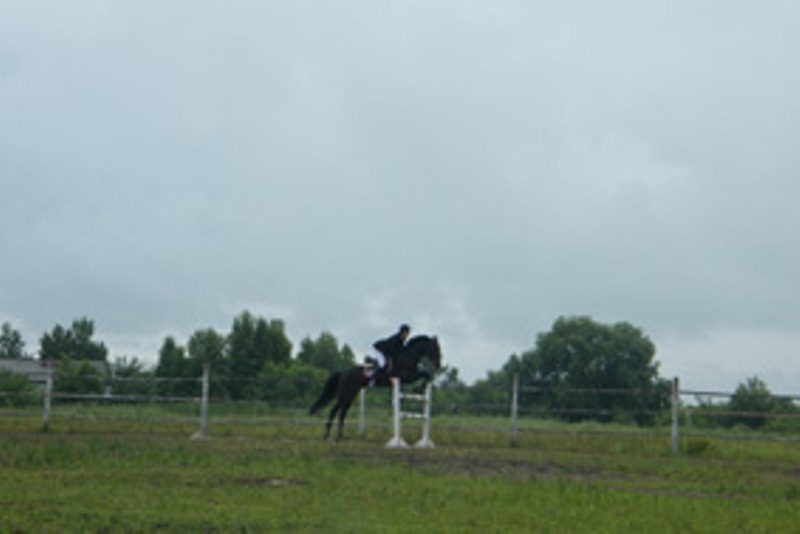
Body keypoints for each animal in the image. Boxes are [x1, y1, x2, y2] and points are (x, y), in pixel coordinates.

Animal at [308, 336, 444, 444]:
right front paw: (420, 387)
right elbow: (424, 373)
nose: (438, 365)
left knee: (342, 412)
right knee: (334, 410)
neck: (408, 357)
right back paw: (328, 436)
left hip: (351, 395)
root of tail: (343, 373)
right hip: (345, 393)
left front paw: (422, 387)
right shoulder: (406, 376)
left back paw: (336, 436)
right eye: (435, 349)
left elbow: (425, 374)